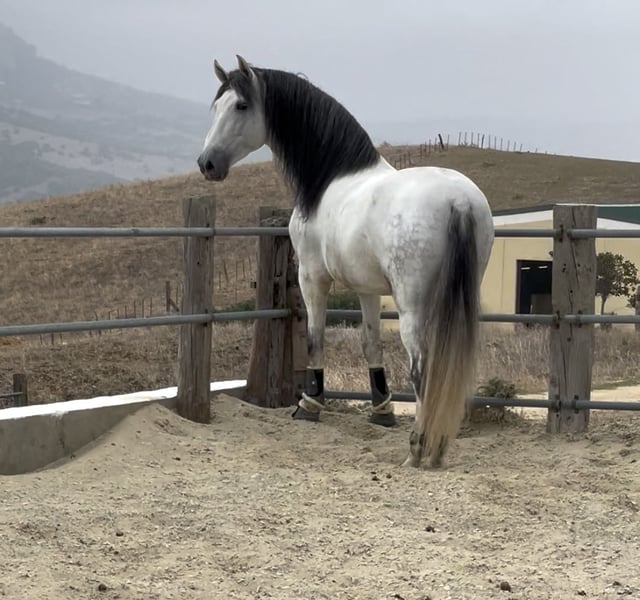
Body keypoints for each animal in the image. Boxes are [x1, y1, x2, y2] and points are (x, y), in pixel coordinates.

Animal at [197, 55, 495, 468]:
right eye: (216, 107)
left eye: (241, 106)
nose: (207, 163)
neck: (330, 180)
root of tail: (458, 200)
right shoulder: (368, 290)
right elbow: (371, 343)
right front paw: (382, 410)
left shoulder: (311, 279)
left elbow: (314, 337)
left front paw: (309, 404)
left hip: (413, 306)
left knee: (422, 370)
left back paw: (419, 449)